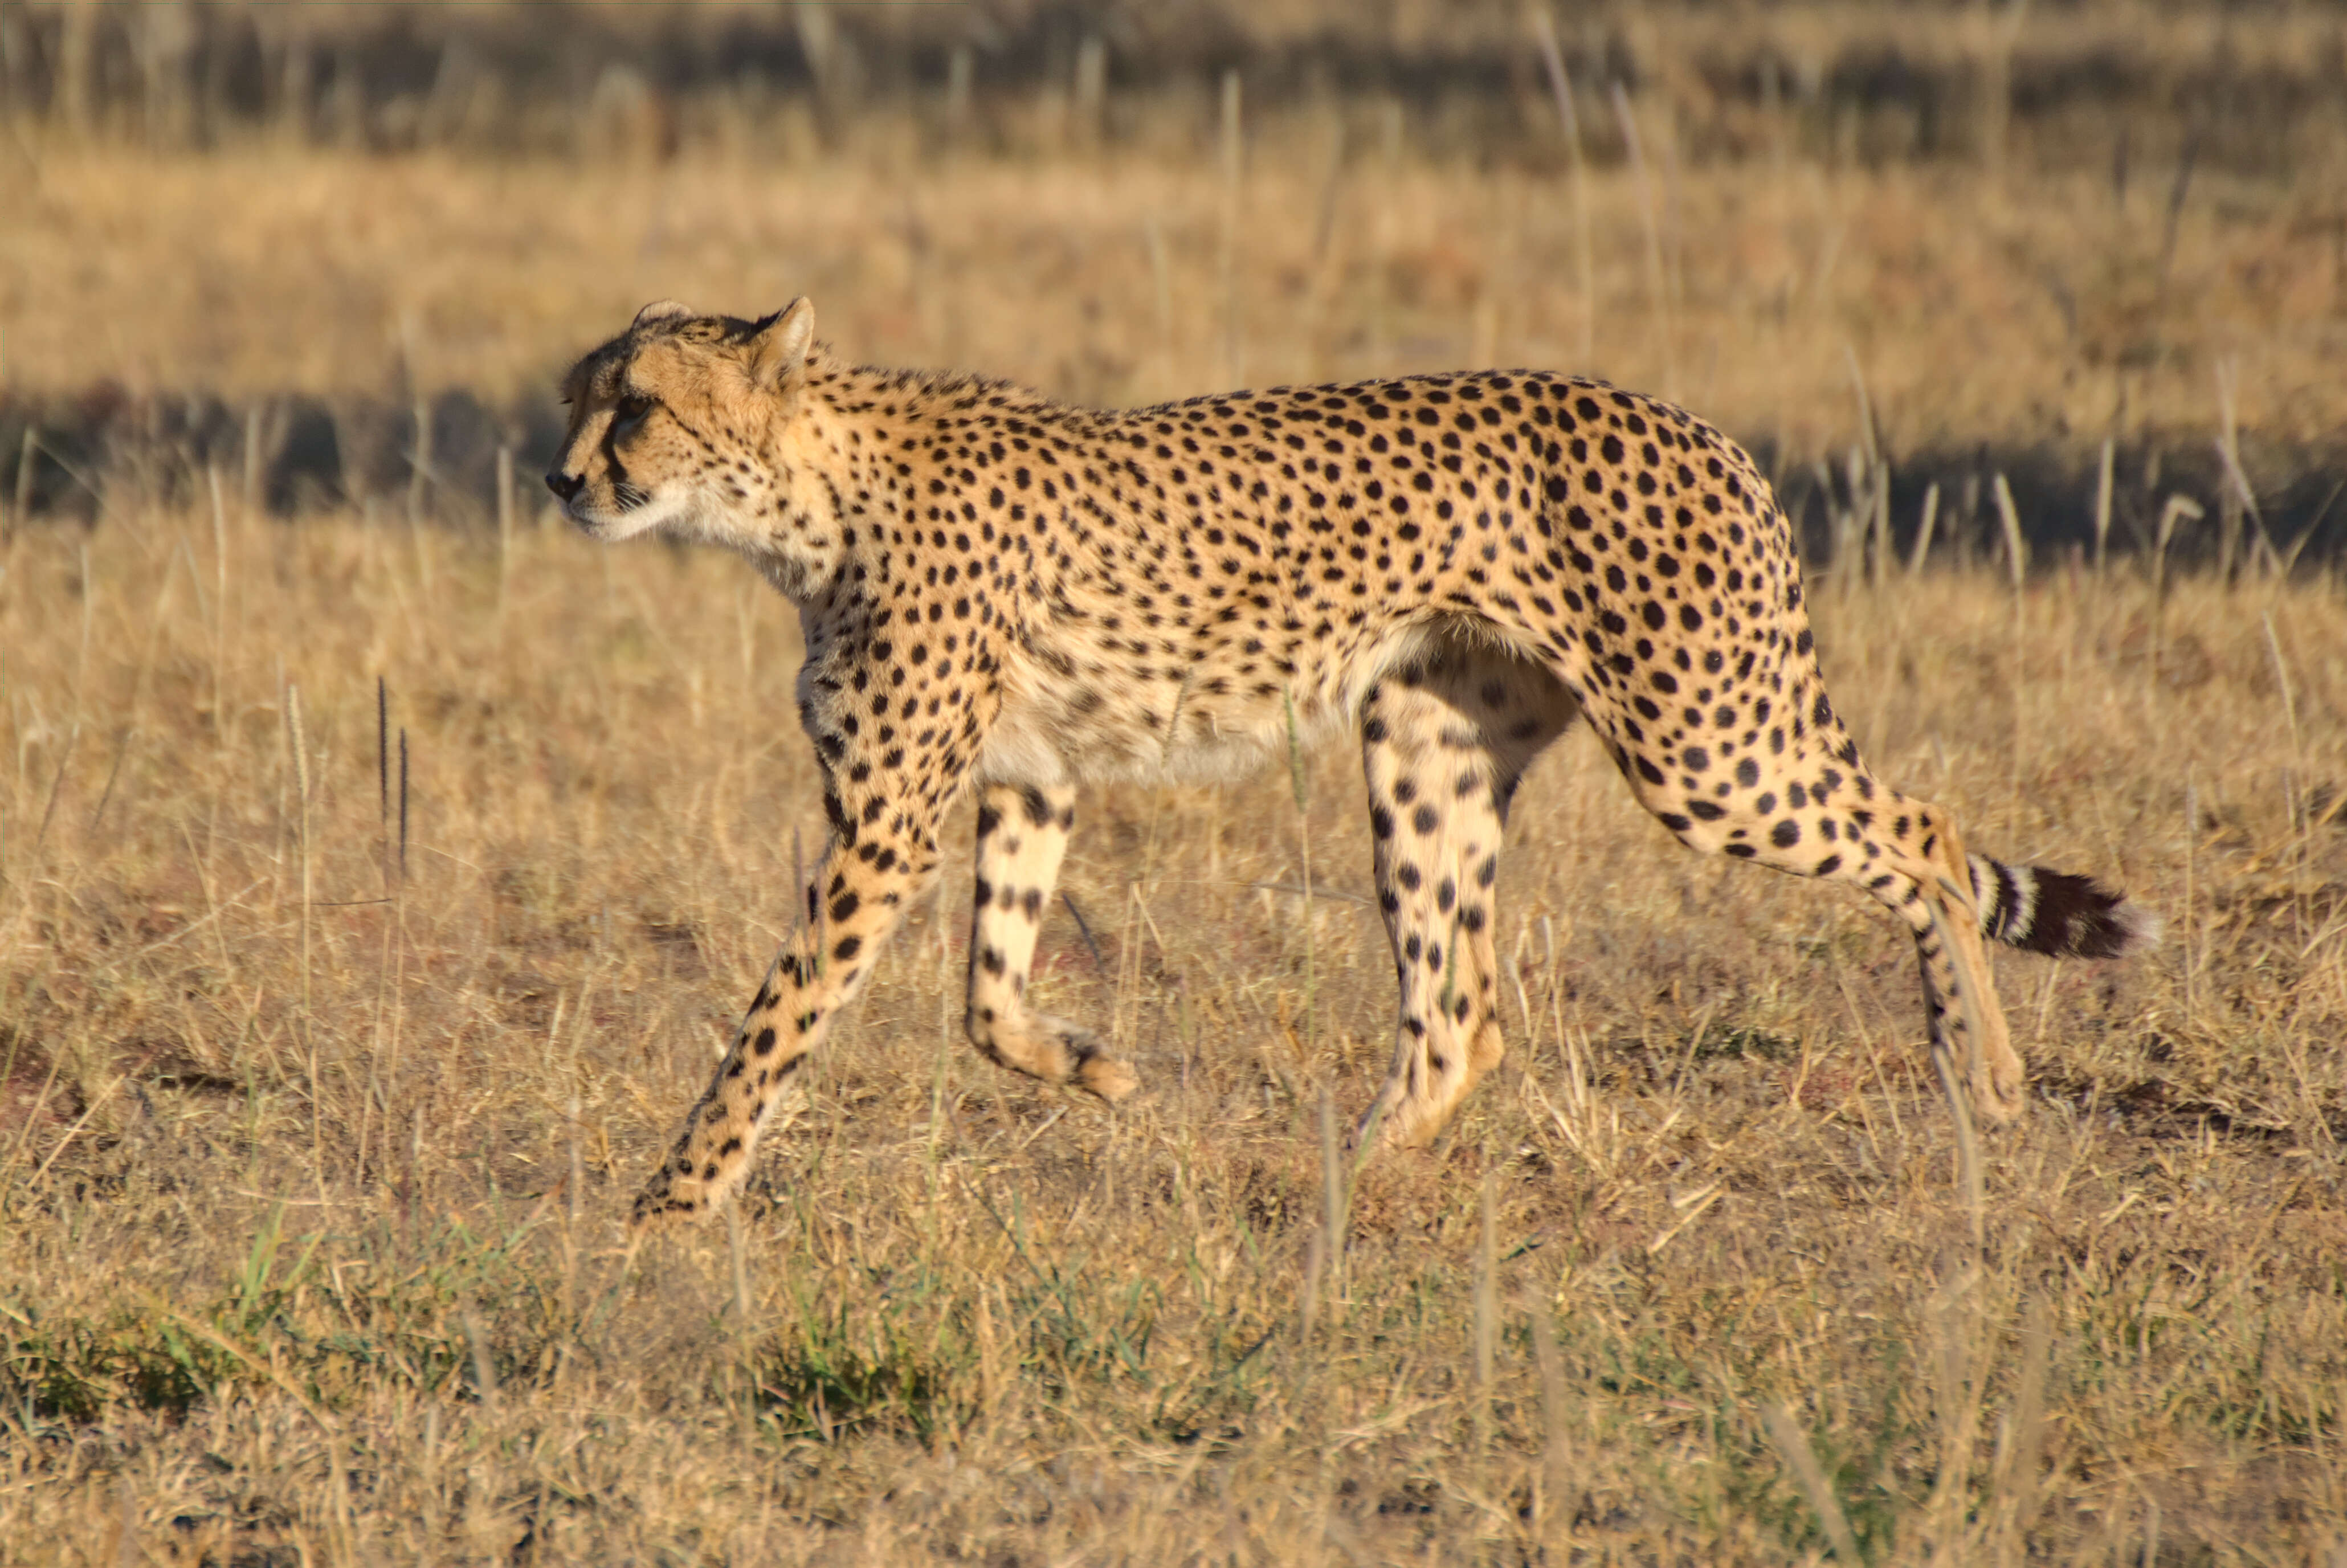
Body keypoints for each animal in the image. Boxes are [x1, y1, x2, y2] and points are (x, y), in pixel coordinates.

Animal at [549, 293, 2159, 1220]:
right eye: (579, 395)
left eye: (636, 404)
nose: (560, 479)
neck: (803, 496)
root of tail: (1696, 424)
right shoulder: (1028, 777)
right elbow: (985, 998)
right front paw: (1097, 1069)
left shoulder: (884, 824)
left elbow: (773, 1026)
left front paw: (669, 1207)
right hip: (1427, 743)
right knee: (1461, 1011)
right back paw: (1330, 1195)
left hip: (1701, 740)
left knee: (1928, 835)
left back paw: (1982, 1073)